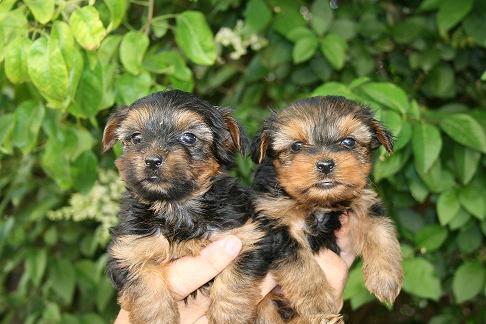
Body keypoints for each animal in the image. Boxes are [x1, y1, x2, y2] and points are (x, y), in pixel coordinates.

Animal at [103, 90, 276, 324]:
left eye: (189, 137)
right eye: (136, 138)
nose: (152, 160)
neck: (175, 206)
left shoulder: (246, 235)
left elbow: (236, 277)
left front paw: (229, 314)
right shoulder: (128, 250)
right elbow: (143, 282)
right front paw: (157, 317)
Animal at [254, 95, 402, 322]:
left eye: (348, 142)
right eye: (296, 146)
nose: (325, 164)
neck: (320, 203)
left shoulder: (364, 203)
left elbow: (380, 231)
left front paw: (385, 277)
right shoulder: (275, 222)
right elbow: (301, 265)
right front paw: (318, 304)